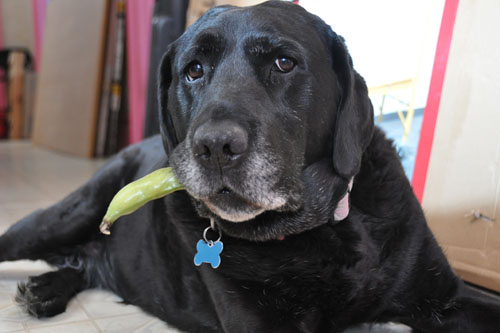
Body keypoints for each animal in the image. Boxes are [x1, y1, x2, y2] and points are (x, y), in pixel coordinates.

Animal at [0, 1, 500, 330]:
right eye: (194, 70)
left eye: (284, 62)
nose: (215, 146)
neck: (319, 229)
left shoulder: (446, 295)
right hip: (66, 215)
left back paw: (46, 290)